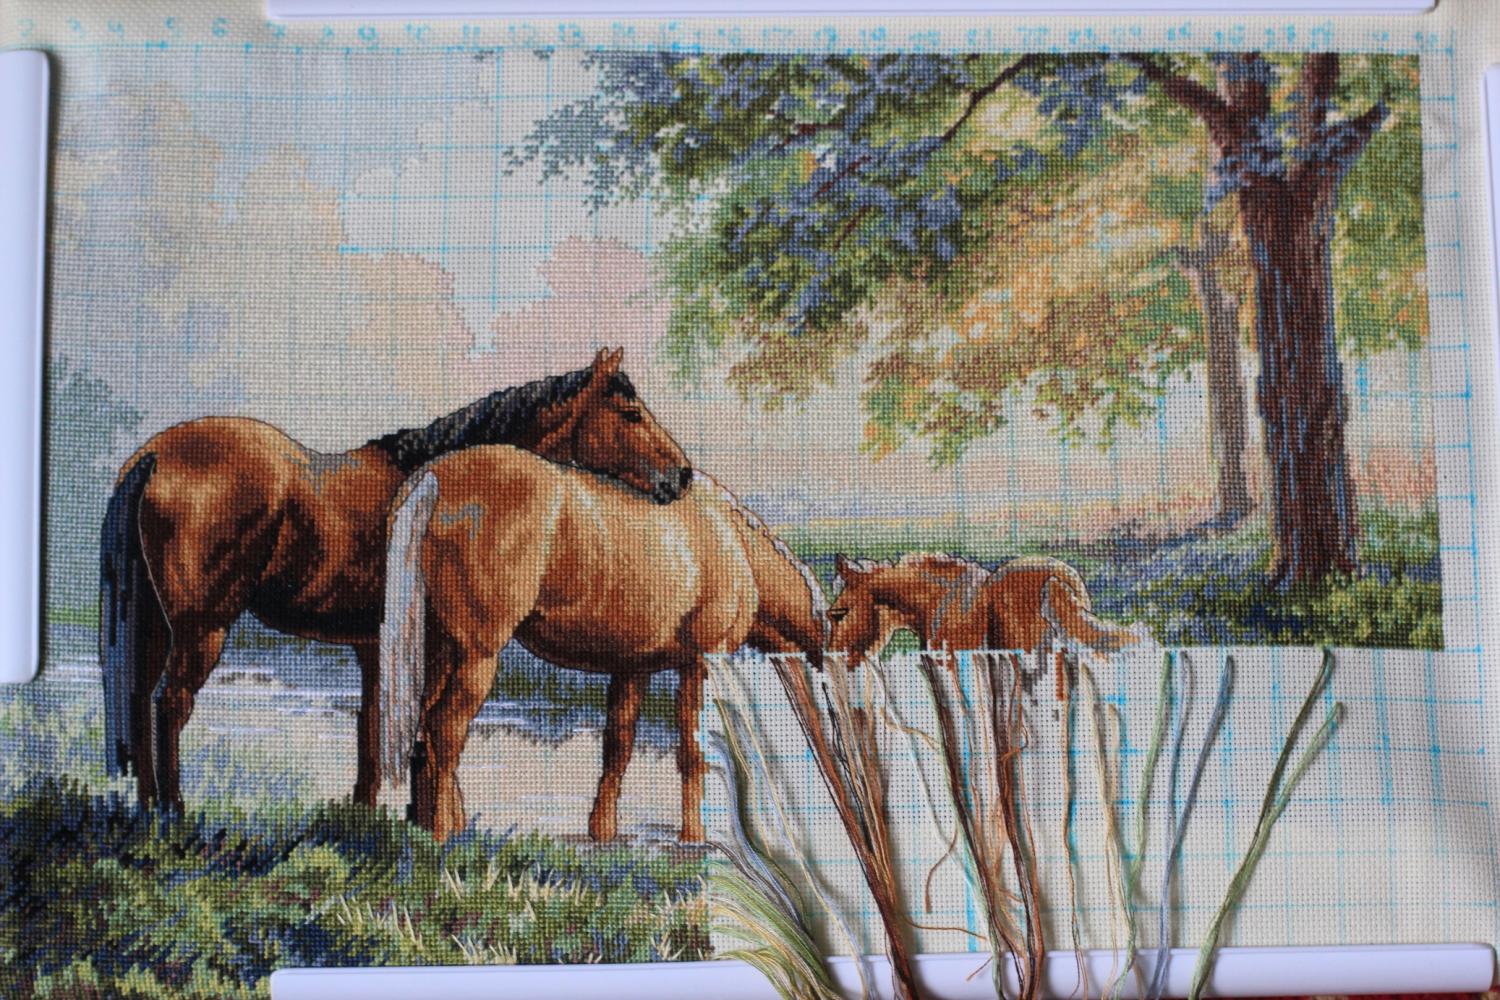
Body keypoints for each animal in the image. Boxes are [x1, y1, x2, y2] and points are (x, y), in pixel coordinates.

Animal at [99, 349, 691, 811]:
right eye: (631, 413)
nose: (682, 475)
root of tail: (154, 456)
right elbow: (412, 727)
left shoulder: (375, 647)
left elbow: (372, 728)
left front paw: (369, 812)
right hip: (203, 627)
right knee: (171, 704)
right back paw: (173, 811)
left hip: (155, 625)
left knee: (140, 696)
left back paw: (147, 809)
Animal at [378, 446, 827, 844]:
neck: (732, 542)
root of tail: (432, 476)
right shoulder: (701, 661)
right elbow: (690, 750)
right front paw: (694, 837)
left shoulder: (632, 667)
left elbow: (618, 746)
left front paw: (603, 832)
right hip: (477, 654)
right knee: (446, 727)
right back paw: (442, 836)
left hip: (440, 646)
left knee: (425, 723)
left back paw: (443, 827)